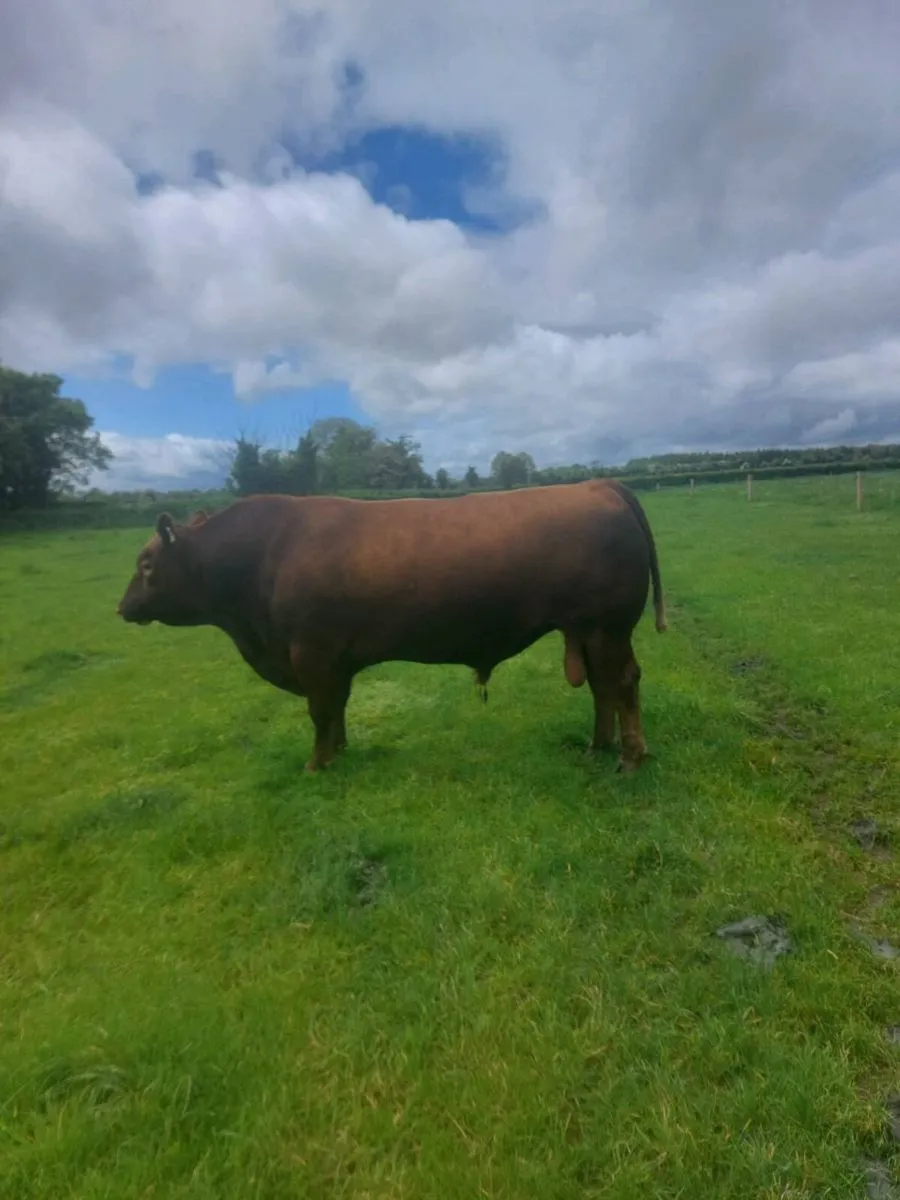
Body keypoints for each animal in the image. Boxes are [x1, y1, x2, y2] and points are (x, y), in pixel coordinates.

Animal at [115, 478, 666, 774]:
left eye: (147, 564)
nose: (122, 608)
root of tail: (597, 484)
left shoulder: (311, 654)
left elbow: (319, 711)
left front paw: (316, 764)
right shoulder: (333, 661)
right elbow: (336, 708)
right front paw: (339, 752)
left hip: (608, 628)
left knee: (622, 683)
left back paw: (631, 757)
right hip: (588, 631)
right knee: (602, 688)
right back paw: (598, 746)